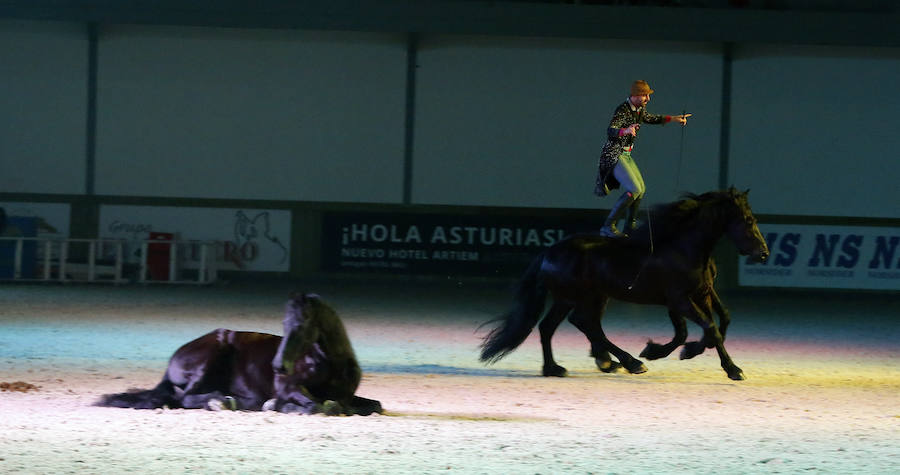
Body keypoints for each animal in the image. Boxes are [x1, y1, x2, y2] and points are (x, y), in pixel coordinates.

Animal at [96, 294, 384, 416]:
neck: (330, 364)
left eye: (302, 324)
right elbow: (319, 406)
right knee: (185, 397)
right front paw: (280, 406)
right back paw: (219, 402)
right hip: (211, 356)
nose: (278, 365)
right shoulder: (289, 387)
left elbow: (370, 405)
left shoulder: (346, 395)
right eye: (284, 323)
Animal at [482, 188, 768, 382]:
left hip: (578, 298)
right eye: (748, 220)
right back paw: (629, 363)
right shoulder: (680, 300)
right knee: (583, 324)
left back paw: (558, 368)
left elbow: (709, 327)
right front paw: (729, 368)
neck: (685, 248)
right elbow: (709, 328)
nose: (763, 254)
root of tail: (549, 251)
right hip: (579, 297)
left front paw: (671, 351)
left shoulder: (699, 296)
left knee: (554, 326)